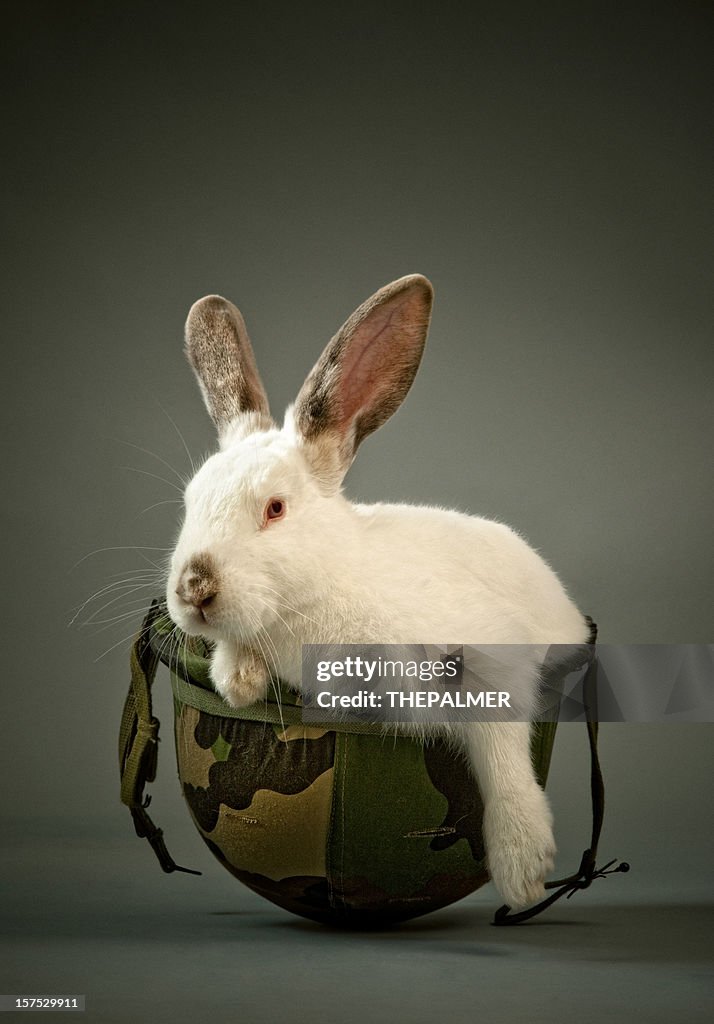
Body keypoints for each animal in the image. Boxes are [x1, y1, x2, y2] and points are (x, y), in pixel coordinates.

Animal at [165, 274, 591, 910]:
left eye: (275, 508)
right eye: (190, 501)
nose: (194, 588)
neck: (320, 596)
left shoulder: (491, 660)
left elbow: (501, 751)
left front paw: (523, 868)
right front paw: (237, 680)